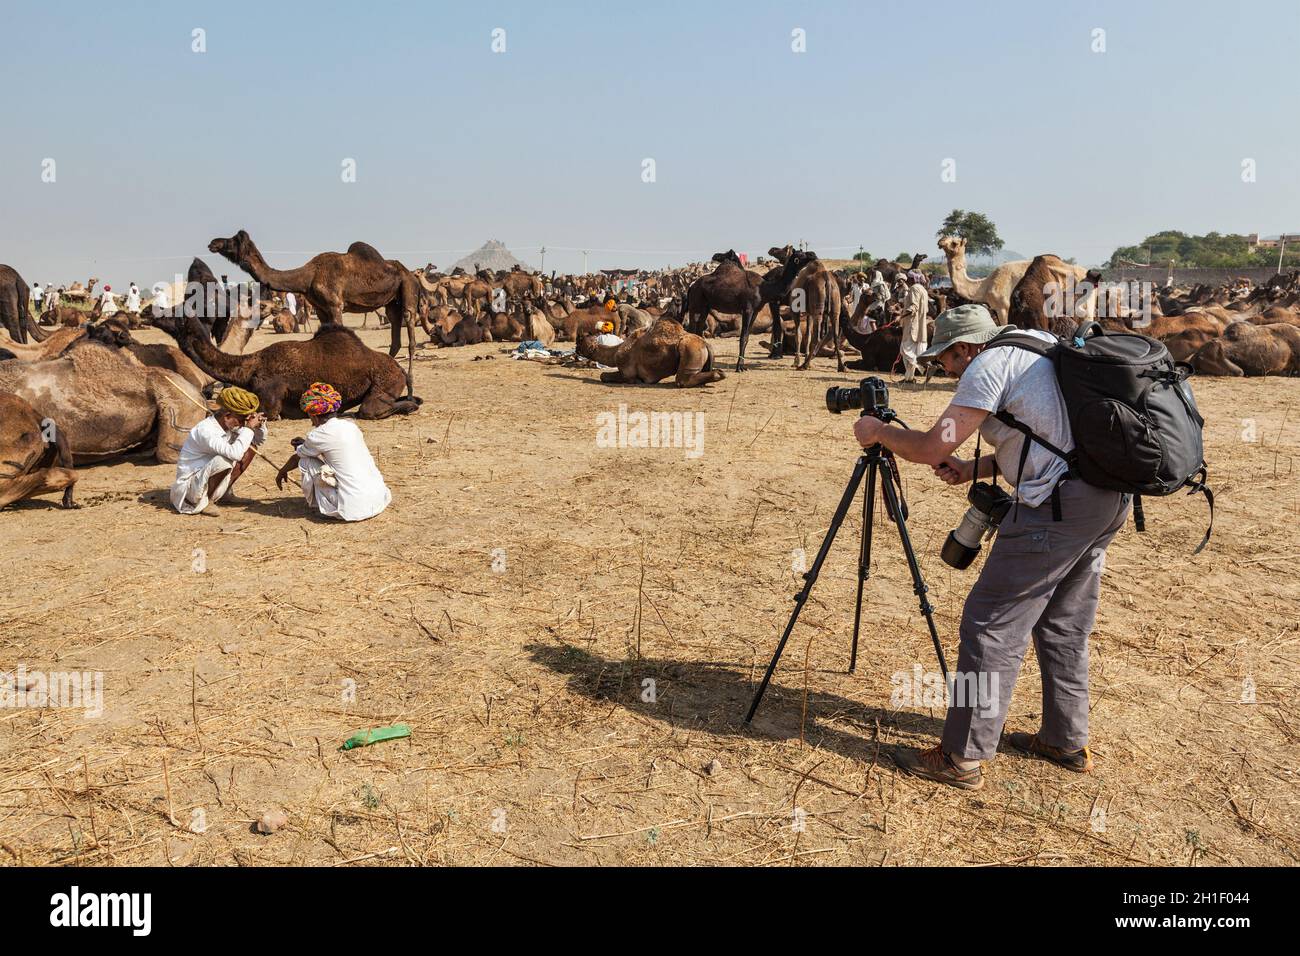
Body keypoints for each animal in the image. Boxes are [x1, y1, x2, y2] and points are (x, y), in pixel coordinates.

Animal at [156, 314, 421, 418]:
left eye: (174, 317)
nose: (151, 313)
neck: (249, 367)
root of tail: (400, 370)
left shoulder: (270, 401)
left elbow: (269, 412)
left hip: (385, 381)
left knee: (369, 409)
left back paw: (409, 406)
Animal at [577, 317, 728, 385]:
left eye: (579, 341)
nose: (576, 350)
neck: (616, 352)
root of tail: (706, 344)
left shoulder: (627, 373)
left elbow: (604, 376)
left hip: (690, 349)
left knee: (682, 380)